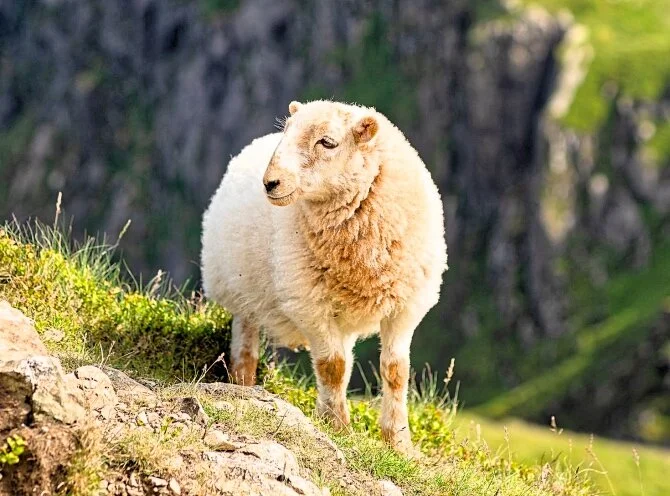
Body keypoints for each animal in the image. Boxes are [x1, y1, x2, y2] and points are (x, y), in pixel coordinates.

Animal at [201, 100, 448, 454]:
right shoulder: (309, 303)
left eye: (327, 142)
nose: (270, 183)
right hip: (241, 292)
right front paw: (338, 428)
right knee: (245, 345)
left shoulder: (405, 306)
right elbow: (333, 367)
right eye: (287, 132)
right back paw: (244, 386)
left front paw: (399, 442)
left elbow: (395, 371)